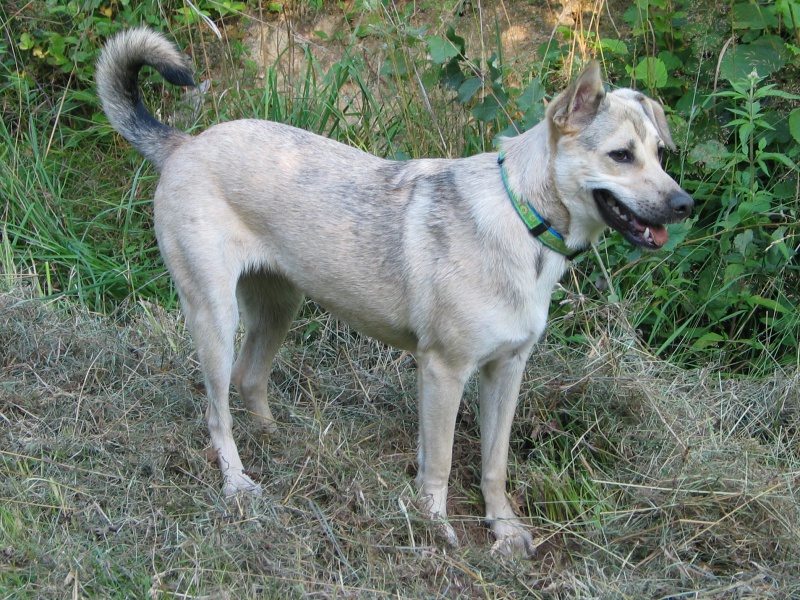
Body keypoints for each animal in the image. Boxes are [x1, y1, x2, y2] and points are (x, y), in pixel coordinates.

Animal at [95, 27, 692, 552]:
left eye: (661, 154)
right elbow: (441, 463)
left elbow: (494, 464)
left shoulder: (507, 371)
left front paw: (504, 529)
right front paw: (435, 530)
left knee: (250, 379)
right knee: (217, 411)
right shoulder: (444, 371)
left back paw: (279, 439)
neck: (523, 219)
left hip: (279, 307)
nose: (684, 204)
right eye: (621, 155)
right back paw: (238, 482)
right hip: (215, 318)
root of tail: (184, 144)